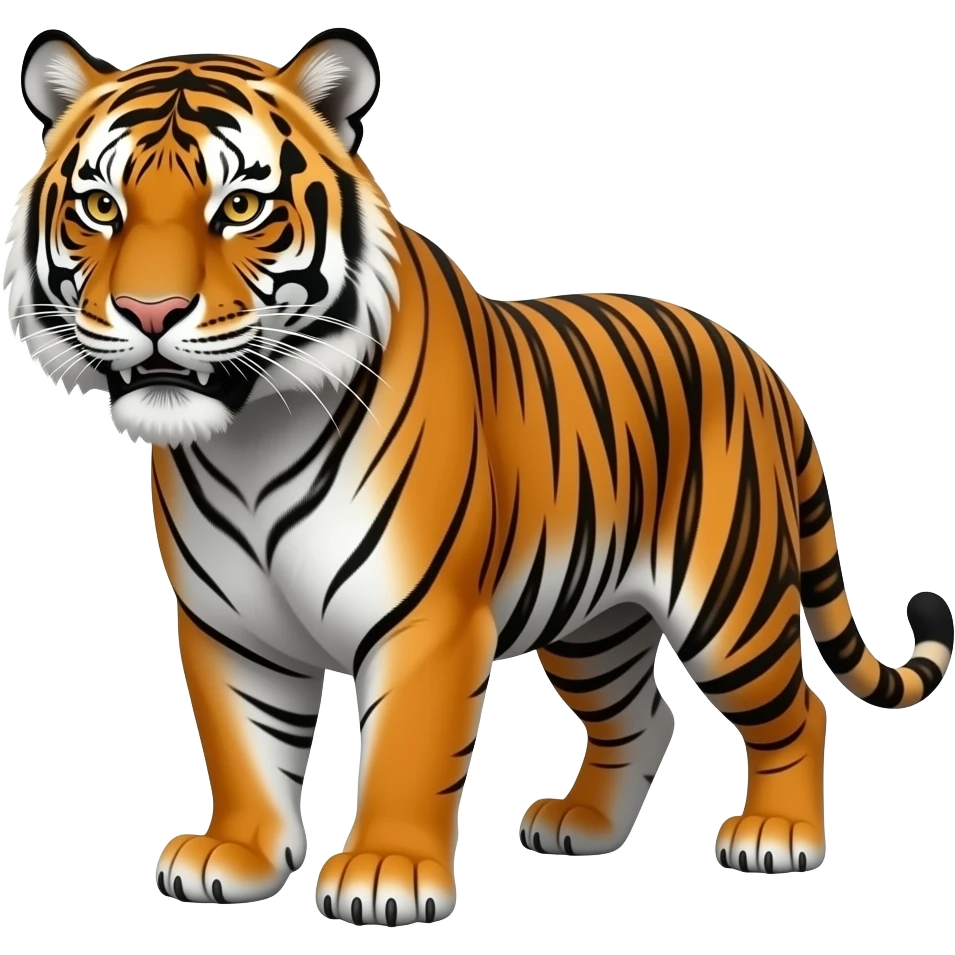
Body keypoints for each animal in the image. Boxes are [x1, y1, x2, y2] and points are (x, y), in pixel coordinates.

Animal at [3, 26, 952, 923]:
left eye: (239, 205)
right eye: (100, 206)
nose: (150, 312)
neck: (251, 436)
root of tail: (759, 364)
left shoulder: (426, 617)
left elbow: (407, 750)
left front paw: (385, 872)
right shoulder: (229, 622)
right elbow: (244, 744)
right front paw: (235, 854)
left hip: (729, 601)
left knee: (796, 710)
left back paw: (777, 834)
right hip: (593, 620)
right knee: (645, 714)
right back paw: (582, 825)